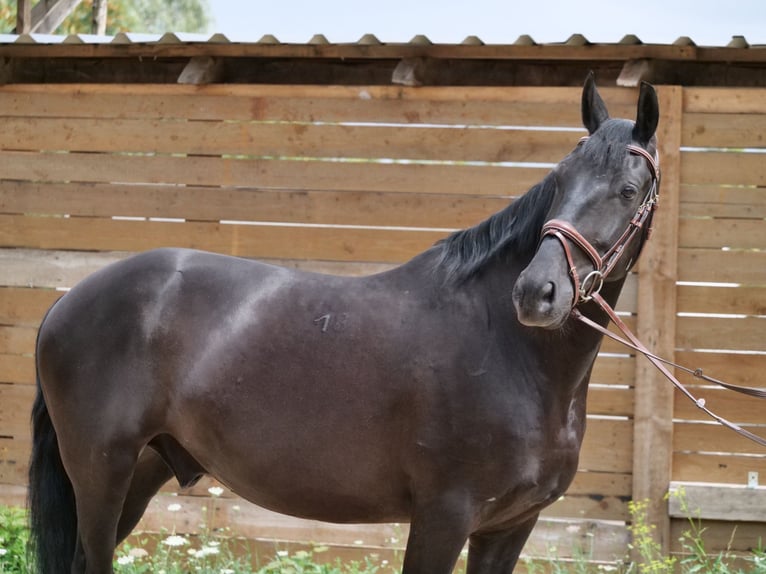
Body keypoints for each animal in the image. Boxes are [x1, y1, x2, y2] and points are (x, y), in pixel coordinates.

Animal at [28, 75, 660, 574]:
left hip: (139, 471)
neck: (514, 356)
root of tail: (65, 302)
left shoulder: (508, 527)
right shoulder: (443, 516)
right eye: (560, 178)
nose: (536, 293)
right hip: (100, 473)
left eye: (629, 191)